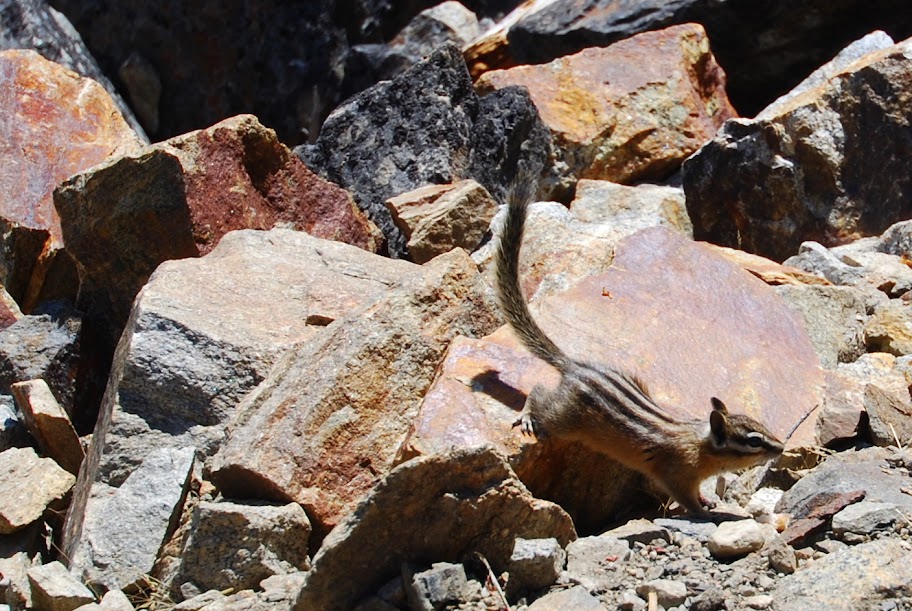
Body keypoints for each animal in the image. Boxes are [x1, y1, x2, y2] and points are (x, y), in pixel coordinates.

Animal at [494, 181, 784, 515]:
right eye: (753, 441)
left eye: (762, 426)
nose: (781, 447)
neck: (701, 444)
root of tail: (576, 366)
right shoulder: (675, 474)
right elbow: (683, 496)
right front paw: (701, 512)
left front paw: (708, 500)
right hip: (565, 419)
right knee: (540, 392)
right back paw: (528, 416)